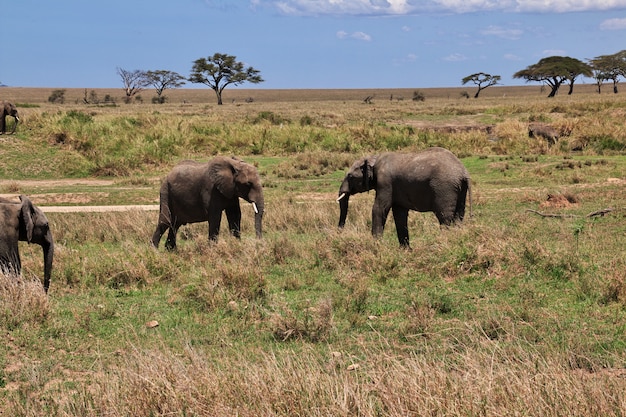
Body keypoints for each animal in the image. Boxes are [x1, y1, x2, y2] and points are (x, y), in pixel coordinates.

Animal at [336, 147, 468, 247]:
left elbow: (379, 208)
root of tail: (463, 171)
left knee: (445, 217)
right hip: (460, 189)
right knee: (459, 215)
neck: (373, 158)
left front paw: (376, 246)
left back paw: (445, 243)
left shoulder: (385, 183)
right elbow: (399, 214)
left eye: (350, 176)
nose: (339, 233)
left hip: (444, 188)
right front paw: (405, 251)